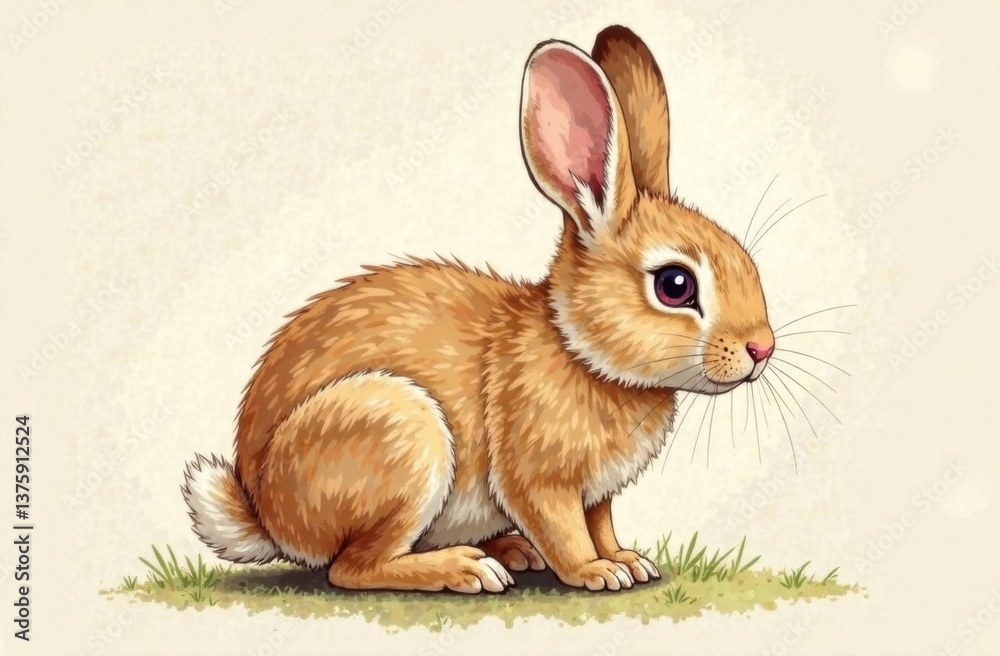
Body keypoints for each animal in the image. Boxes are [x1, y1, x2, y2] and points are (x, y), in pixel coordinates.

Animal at [182, 25, 775, 594]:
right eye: (675, 285)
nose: (762, 348)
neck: (576, 346)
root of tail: (265, 514)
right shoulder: (537, 480)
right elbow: (564, 531)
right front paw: (598, 573)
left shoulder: (597, 494)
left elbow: (601, 523)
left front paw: (628, 560)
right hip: (402, 435)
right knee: (351, 568)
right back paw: (465, 570)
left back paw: (509, 551)